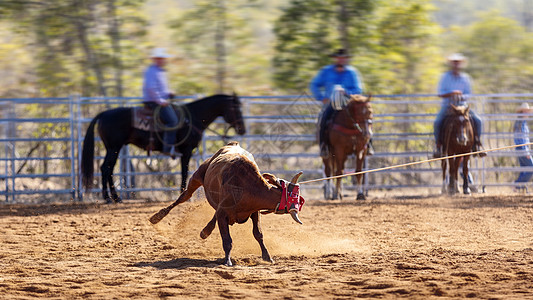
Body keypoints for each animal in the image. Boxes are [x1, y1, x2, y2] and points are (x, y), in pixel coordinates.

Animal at [81, 94, 245, 202]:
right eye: (237, 110)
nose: (242, 129)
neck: (193, 117)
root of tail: (104, 114)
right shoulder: (186, 151)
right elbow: (184, 171)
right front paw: (183, 194)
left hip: (112, 148)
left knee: (107, 168)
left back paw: (113, 197)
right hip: (114, 147)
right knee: (106, 168)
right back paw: (110, 197)